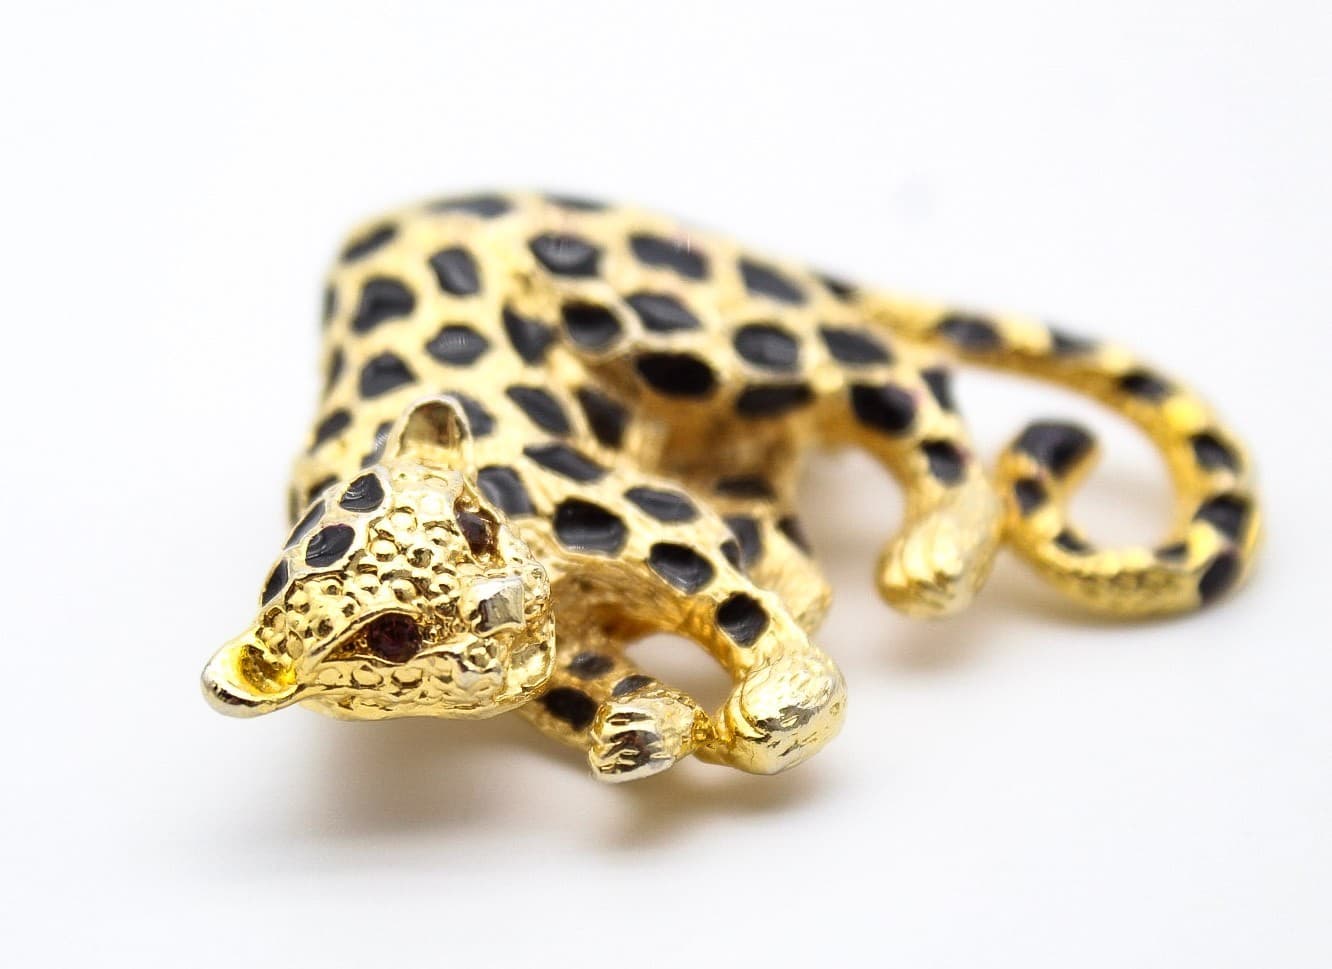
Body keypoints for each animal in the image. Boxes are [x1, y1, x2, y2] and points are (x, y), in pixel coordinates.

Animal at [202, 191, 1260, 782]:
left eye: (475, 524)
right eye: (384, 638)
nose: (502, 602)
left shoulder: (640, 517)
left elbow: (740, 620)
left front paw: (774, 700)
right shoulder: (554, 655)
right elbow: (581, 691)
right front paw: (646, 723)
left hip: (695, 334)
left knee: (899, 378)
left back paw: (942, 543)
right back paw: (808, 571)